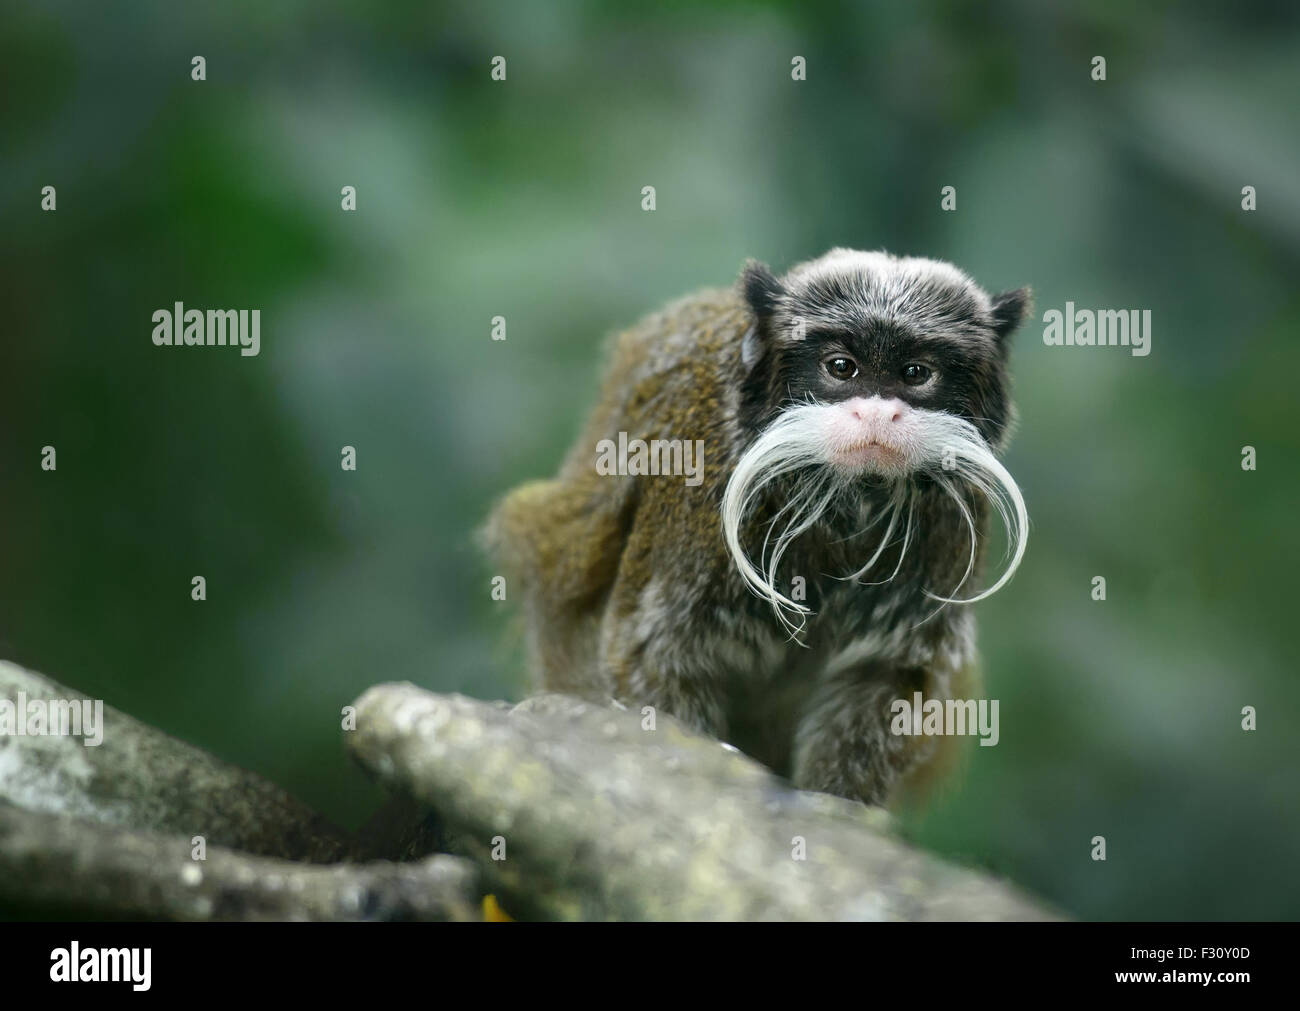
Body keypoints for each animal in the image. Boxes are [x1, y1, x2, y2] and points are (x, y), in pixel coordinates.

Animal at [483, 249, 1029, 805]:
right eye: (841, 367)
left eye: (916, 373)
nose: (878, 414)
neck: (846, 498)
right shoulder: (698, 485)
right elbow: (656, 656)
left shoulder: (949, 525)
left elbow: (883, 683)